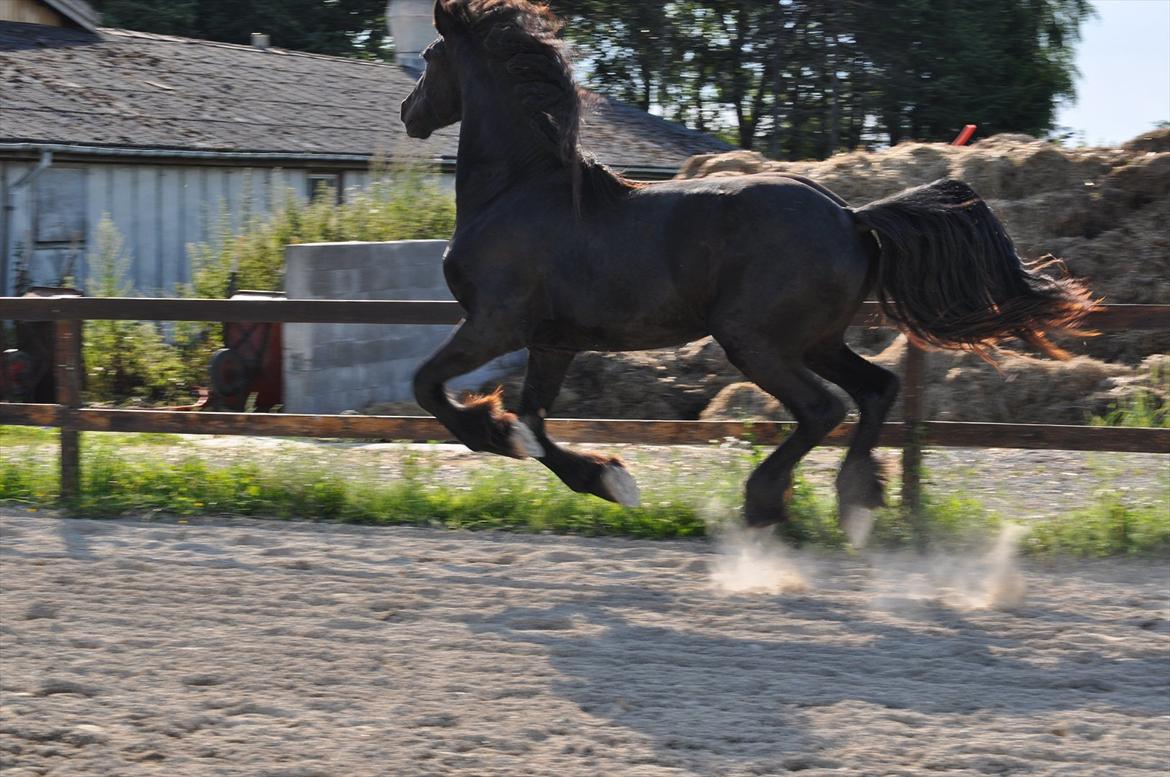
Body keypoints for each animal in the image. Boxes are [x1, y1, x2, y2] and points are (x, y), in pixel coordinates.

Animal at [397, 0, 1090, 528]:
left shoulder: (495, 323)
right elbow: (537, 423)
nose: (410, 114)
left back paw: (767, 503)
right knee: (876, 389)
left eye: (430, 58)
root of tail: (851, 216)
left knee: (825, 409)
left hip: (754, 340)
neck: (518, 190)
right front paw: (605, 478)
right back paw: (858, 499)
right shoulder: (553, 340)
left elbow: (429, 387)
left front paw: (497, 433)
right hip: (813, 340)